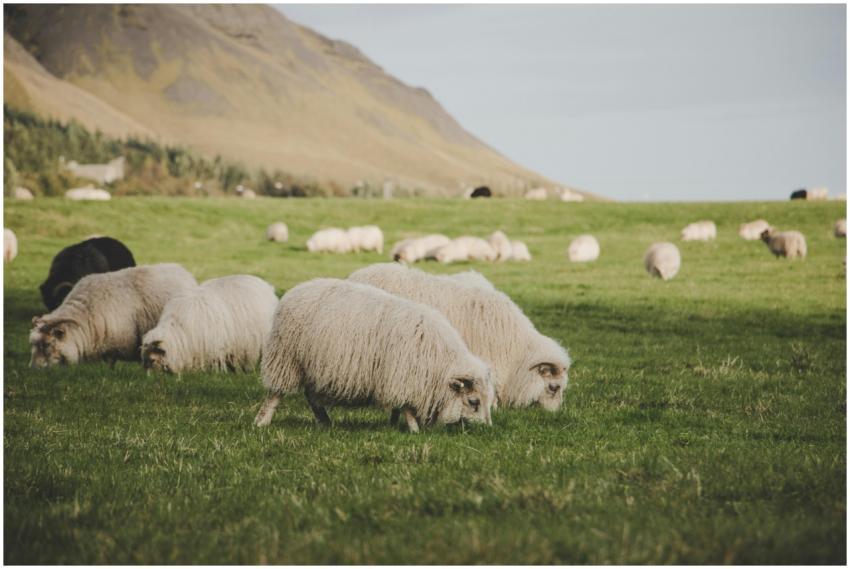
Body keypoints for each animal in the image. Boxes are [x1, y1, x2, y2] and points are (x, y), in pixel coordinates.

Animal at [29, 263, 197, 368]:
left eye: (47, 344)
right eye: (33, 344)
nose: (34, 369)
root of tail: (183, 271)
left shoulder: (116, 343)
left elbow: (110, 366)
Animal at [254, 278, 494, 432]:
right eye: (473, 401)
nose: (486, 430)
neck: (439, 359)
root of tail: (295, 290)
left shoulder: (398, 379)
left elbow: (398, 406)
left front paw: (393, 424)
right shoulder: (402, 377)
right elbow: (407, 407)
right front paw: (414, 430)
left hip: (313, 365)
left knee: (312, 397)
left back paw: (325, 422)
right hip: (286, 358)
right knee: (276, 393)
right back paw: (261, 422)